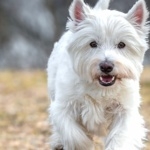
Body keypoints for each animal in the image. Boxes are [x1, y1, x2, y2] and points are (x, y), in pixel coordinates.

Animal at [47, 0, 149, 149]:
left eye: (121, 44)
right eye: (93, 43)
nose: (106, 66)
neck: (101, 89)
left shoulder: (124, 111)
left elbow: (120, 138)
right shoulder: (64, 106)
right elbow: (74, 135)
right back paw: (58, 142)